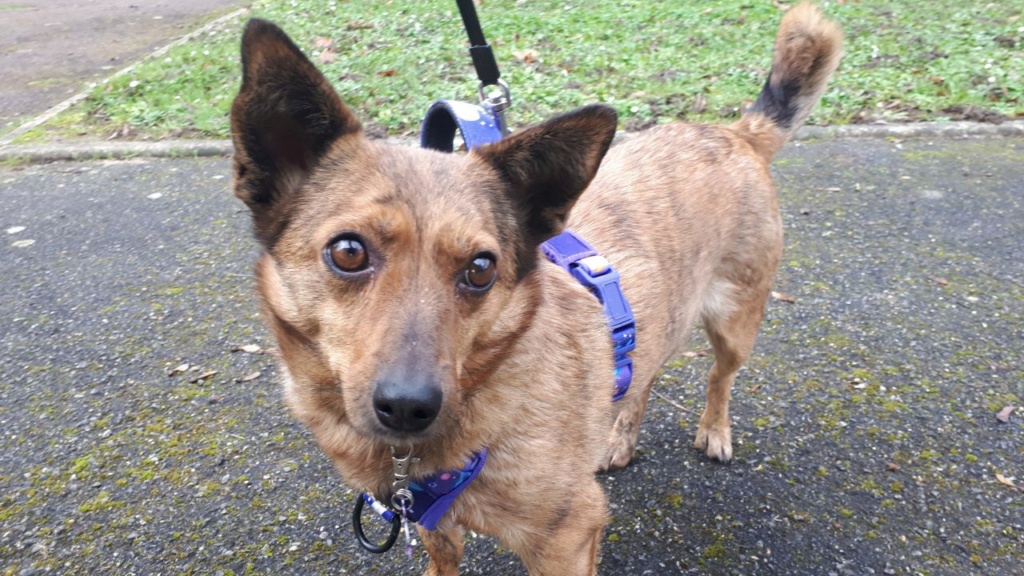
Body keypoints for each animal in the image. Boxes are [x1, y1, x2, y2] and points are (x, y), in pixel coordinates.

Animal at [229, 3, 842, 574]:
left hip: (737, 322)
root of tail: (734, 132)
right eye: (348, 252)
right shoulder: (436, 524)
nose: (408, 406)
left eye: (481, 268)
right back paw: (618, 436)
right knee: (641, 377)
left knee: (720, 376)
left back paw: (713, 431)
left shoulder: (567, 538)